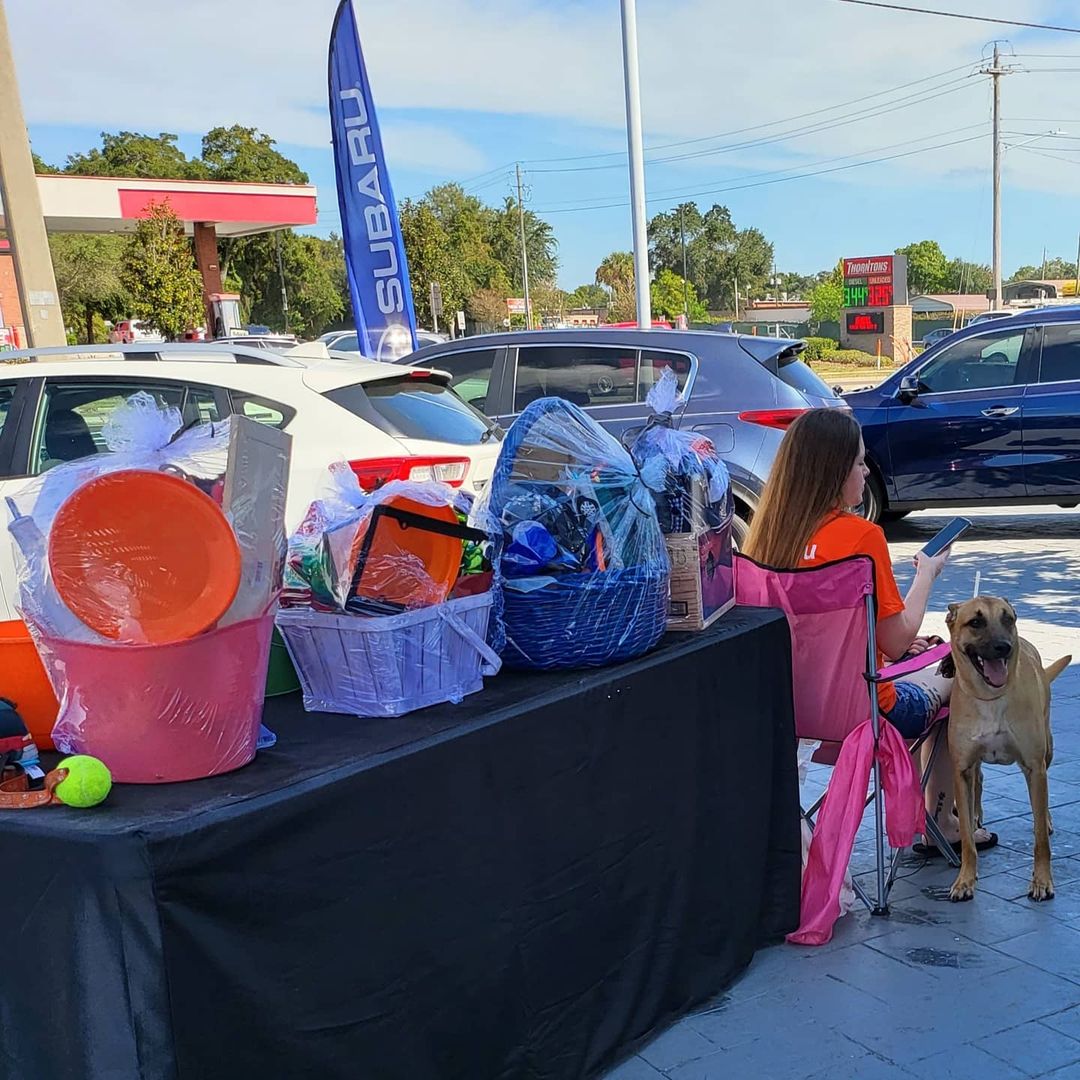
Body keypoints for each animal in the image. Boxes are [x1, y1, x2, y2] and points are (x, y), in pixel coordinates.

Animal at [941, 600, 1067, 902]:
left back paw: (1046, 820)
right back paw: (976, 816)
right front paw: (965, 880)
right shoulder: (961, 769)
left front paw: (1042, 881)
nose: (1004, 647)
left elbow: (1040, 841)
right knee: (979, 782)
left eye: (1008, 619)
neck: (990, 698)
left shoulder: (1034, 767)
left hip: (1047, 749)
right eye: (975, 622)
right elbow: (966, 839)